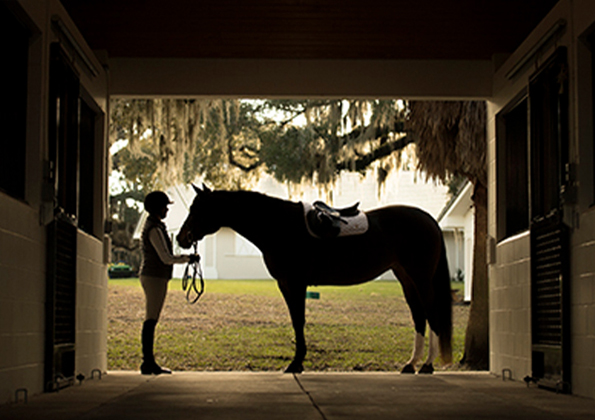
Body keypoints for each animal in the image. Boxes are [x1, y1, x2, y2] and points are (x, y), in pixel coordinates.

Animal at [176, 185, 452, 374]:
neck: (279, 226)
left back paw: (427, 365)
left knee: (431, 313)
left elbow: (299, 321)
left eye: (197, 210)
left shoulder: (296, 284)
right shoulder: (286, 285)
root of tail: (429, 220)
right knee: (419, 316)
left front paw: (296, 363)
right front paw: (297, 361)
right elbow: (295, 320)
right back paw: (411, 364)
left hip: (421, 278)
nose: (180, 238)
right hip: (406, 278)